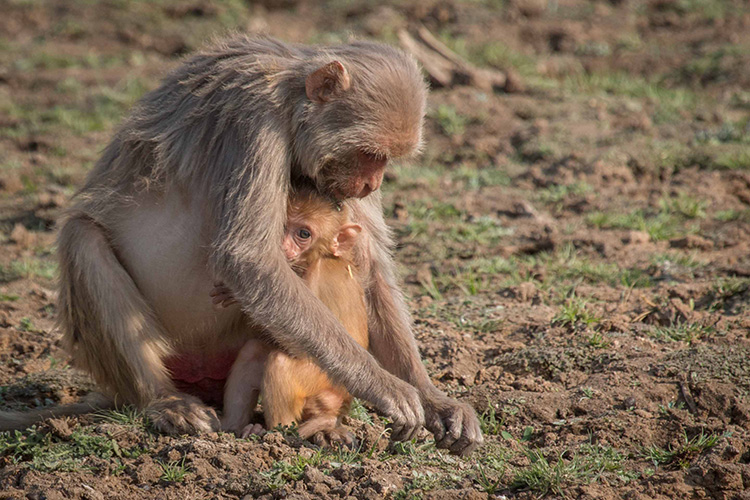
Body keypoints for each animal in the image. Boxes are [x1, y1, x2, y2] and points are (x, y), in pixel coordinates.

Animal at [215, 186, 368, 445]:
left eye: (303, 234)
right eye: (282, 226)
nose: (283, 246)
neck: (320, 258)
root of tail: (342, 405)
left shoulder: (320, 275)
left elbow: (305, 343)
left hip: (323, 383)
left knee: (280, 363)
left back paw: (277, 435)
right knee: (254, 351)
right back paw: (230, 428)